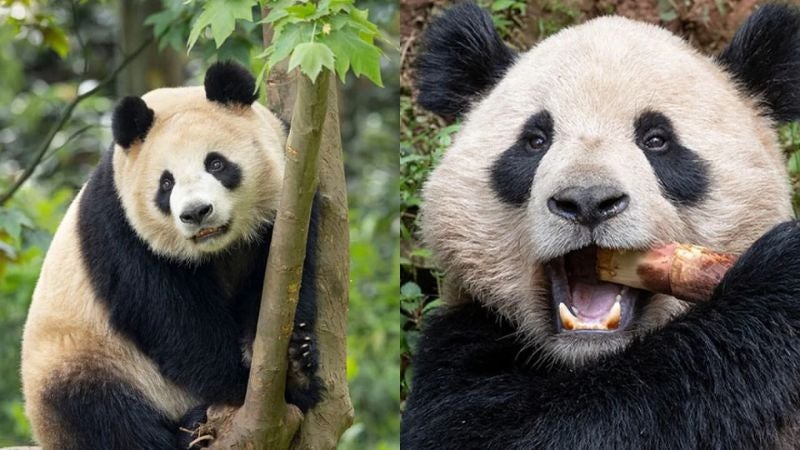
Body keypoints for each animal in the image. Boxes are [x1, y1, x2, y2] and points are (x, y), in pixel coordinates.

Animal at [21, 61, 322, 450]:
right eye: (166, 183)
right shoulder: (122, 229)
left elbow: (283, 284)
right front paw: (241, 384)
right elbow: (173, 318)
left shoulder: (293, 201)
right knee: (99, 413)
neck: (218, 249)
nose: (196, 212)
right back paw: (188, 430)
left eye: (216, 164)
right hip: (82, 358)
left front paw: (293, 367)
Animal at [403, 3, 800, 449]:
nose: (588, 201)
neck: (593, 357)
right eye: (535, 140)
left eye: (657, 139)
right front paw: (778, 278)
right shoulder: (461, 342)